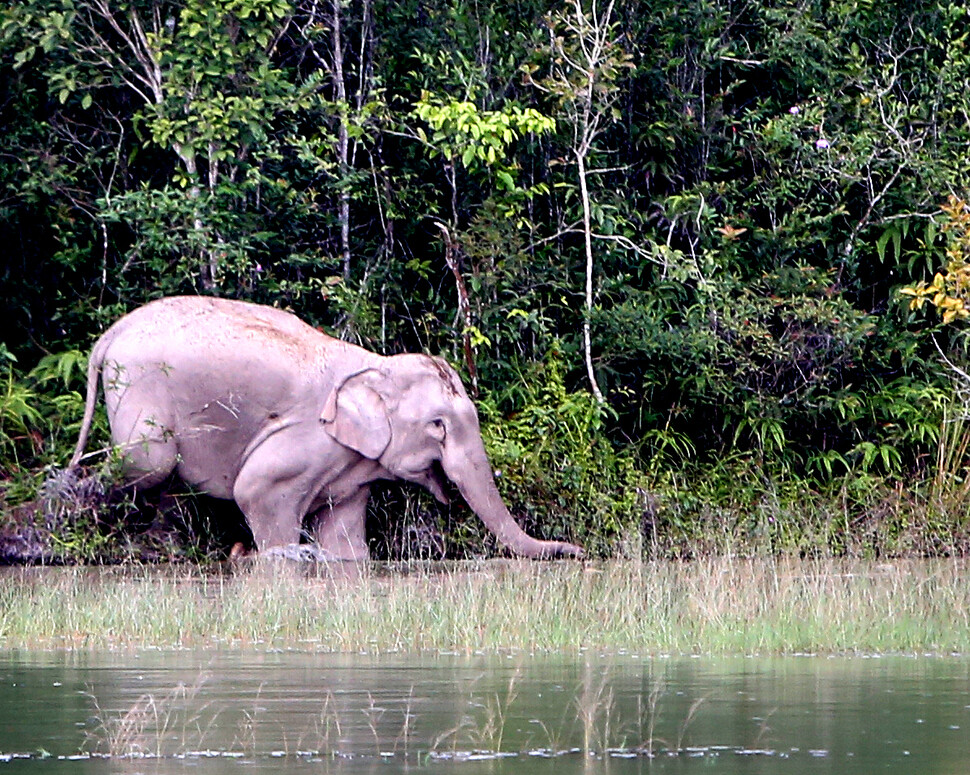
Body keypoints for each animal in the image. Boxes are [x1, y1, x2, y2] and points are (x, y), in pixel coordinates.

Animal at [72, 294, 584, 560]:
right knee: (149, 462)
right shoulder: (308, 440)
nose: (577, 551)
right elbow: (255, 491)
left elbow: (346, 540)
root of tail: (108, 336)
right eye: (438, 426)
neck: (375, 364)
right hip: (140, 390)